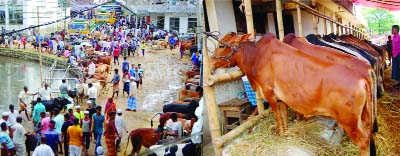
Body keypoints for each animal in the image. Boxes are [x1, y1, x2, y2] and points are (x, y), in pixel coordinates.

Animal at [211, 32, 376, 155]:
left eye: (221, 45)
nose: (211, 63)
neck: (256, 56)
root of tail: (361, 79)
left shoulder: (269, 93)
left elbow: (277, 116)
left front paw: (280, 133)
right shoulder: (282, 97)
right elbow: (284, 115)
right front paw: (286, 132)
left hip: (349, 121)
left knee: (363, 141)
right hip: (364, 116)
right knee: (368, 134)